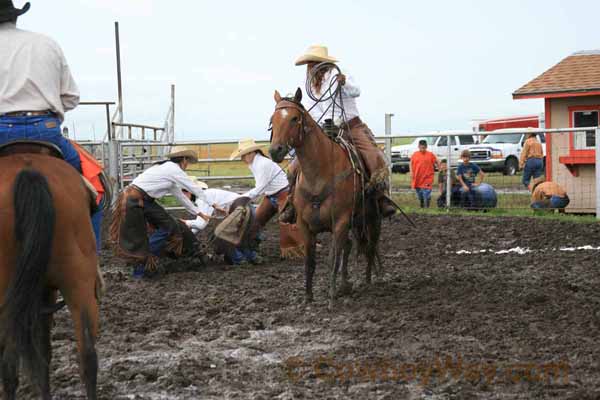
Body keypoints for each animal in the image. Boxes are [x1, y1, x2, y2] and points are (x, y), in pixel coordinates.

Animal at [270, 89, 382, 308]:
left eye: (294, 118)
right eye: (272, 120)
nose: (275, 150)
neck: (319, 173)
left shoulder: (340, 222)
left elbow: (332, 260)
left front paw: (331, 298)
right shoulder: (304, 225)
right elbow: (310, 261)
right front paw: (308, 297)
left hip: (371, 219)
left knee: (370, 246)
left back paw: (368, 280)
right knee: (351, 246)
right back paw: (346, 285)